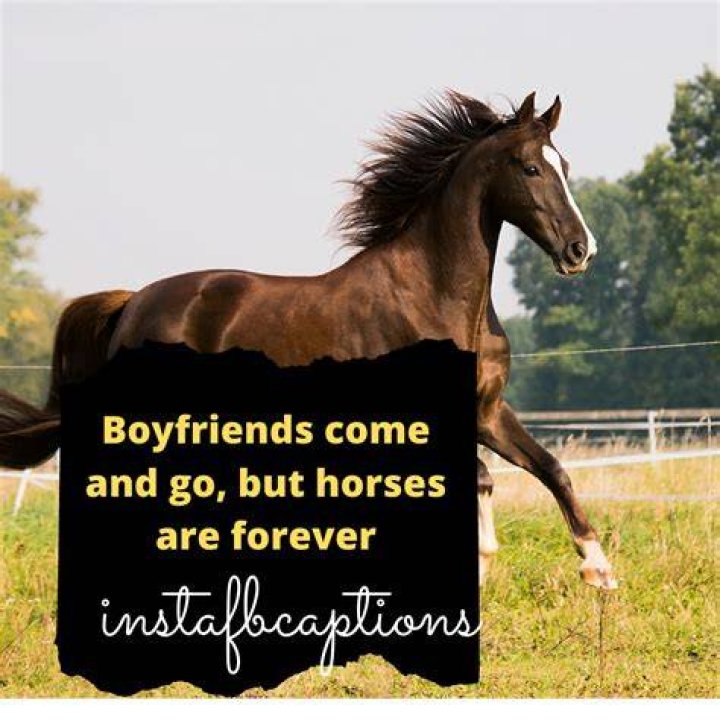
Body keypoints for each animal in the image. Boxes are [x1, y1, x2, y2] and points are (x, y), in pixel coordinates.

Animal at [0, 90, 616, 590]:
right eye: (531, 167)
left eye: (565, 165)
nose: (580, 251)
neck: (435, 295)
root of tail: (131, 303)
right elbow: (483, 478)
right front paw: (485, 564)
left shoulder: (487, 410)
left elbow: (550, 469)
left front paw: (598, 569)